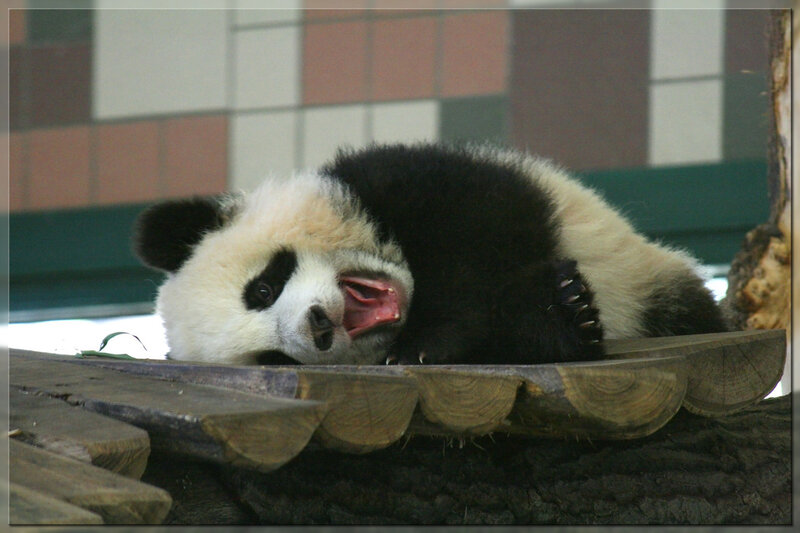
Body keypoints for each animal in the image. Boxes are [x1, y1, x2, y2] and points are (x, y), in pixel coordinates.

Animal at [134, 143, 728, 366]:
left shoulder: (401, 179)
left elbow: (475, 227)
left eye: (262, 288)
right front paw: (563, 315)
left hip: (652, 282)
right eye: (273, 360)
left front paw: (426, 343)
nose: (318, 328)